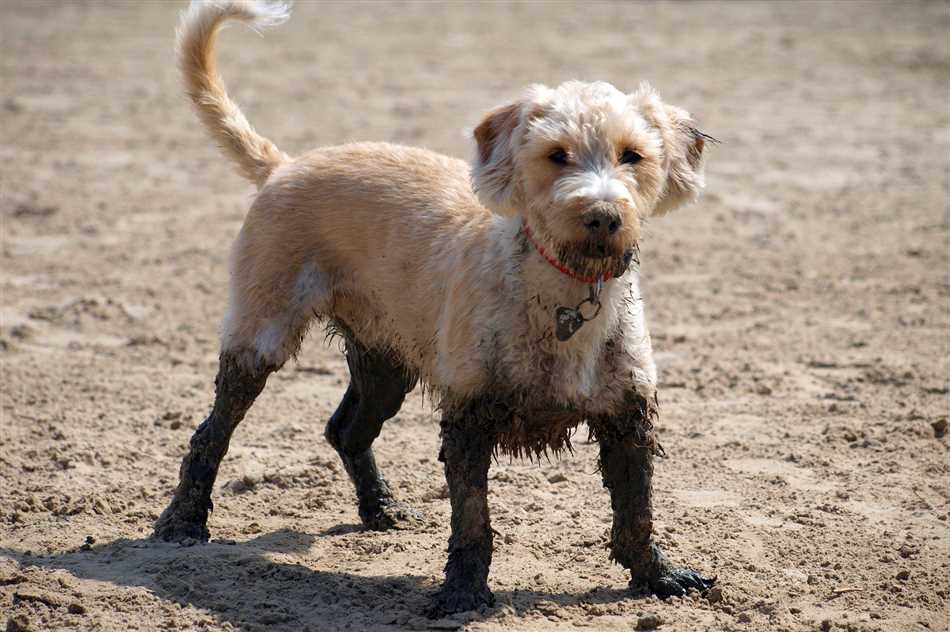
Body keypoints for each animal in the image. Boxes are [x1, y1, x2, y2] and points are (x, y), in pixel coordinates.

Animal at [156, 0, 716, 612]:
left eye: (632, 155)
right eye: (556, 155)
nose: (602, 216)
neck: (563, 297)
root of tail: (284, 165)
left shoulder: (626, 417)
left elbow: (636, 512)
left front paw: (659, 576)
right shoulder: (468, 418)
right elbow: (473, 522)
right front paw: (464, 592)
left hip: (384, 360)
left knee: (346, 430)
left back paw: (380, 508)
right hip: (260, 335)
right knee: (211, 433)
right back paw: (182, 522)